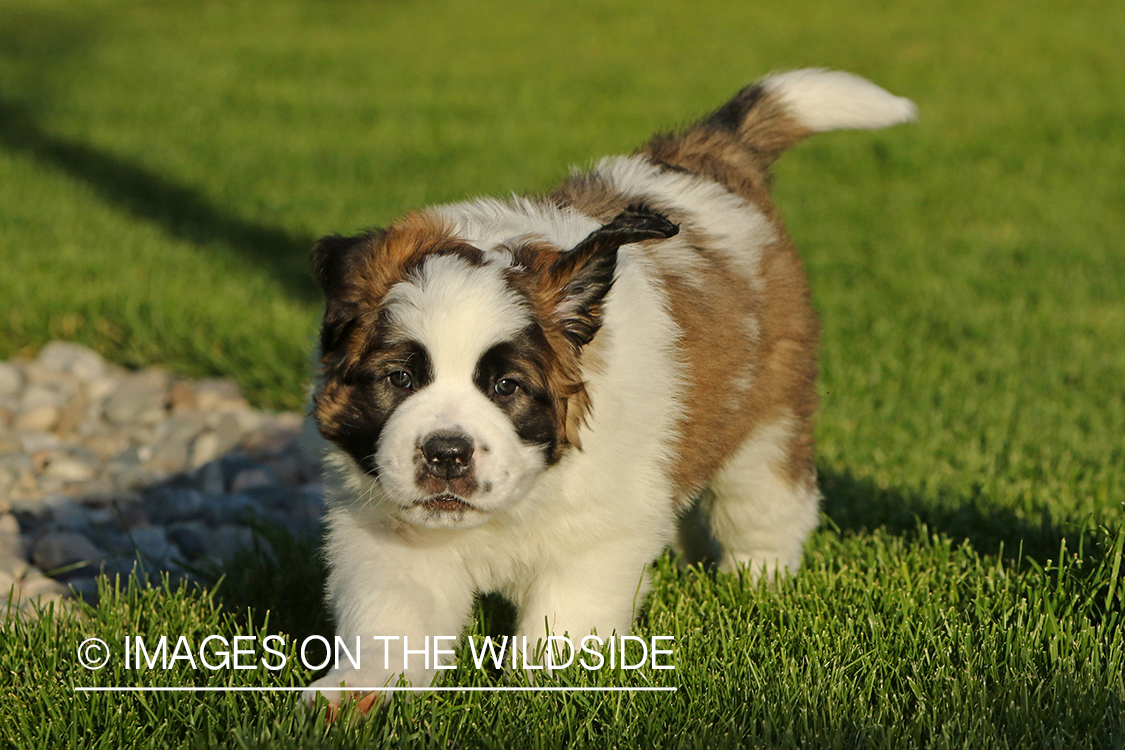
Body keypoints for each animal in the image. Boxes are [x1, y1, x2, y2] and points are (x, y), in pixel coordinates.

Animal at [301, 67, 913, 706]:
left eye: (505, 386)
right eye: (399, 378)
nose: (447, 453)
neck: (519, 502)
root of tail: (701, 156)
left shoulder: (600, 532)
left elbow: (566, 614)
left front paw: (547, 686)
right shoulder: (391, 540)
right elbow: (393, 615)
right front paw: (356, 692)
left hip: (767, 420)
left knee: (764, 504)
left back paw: (756, 581)